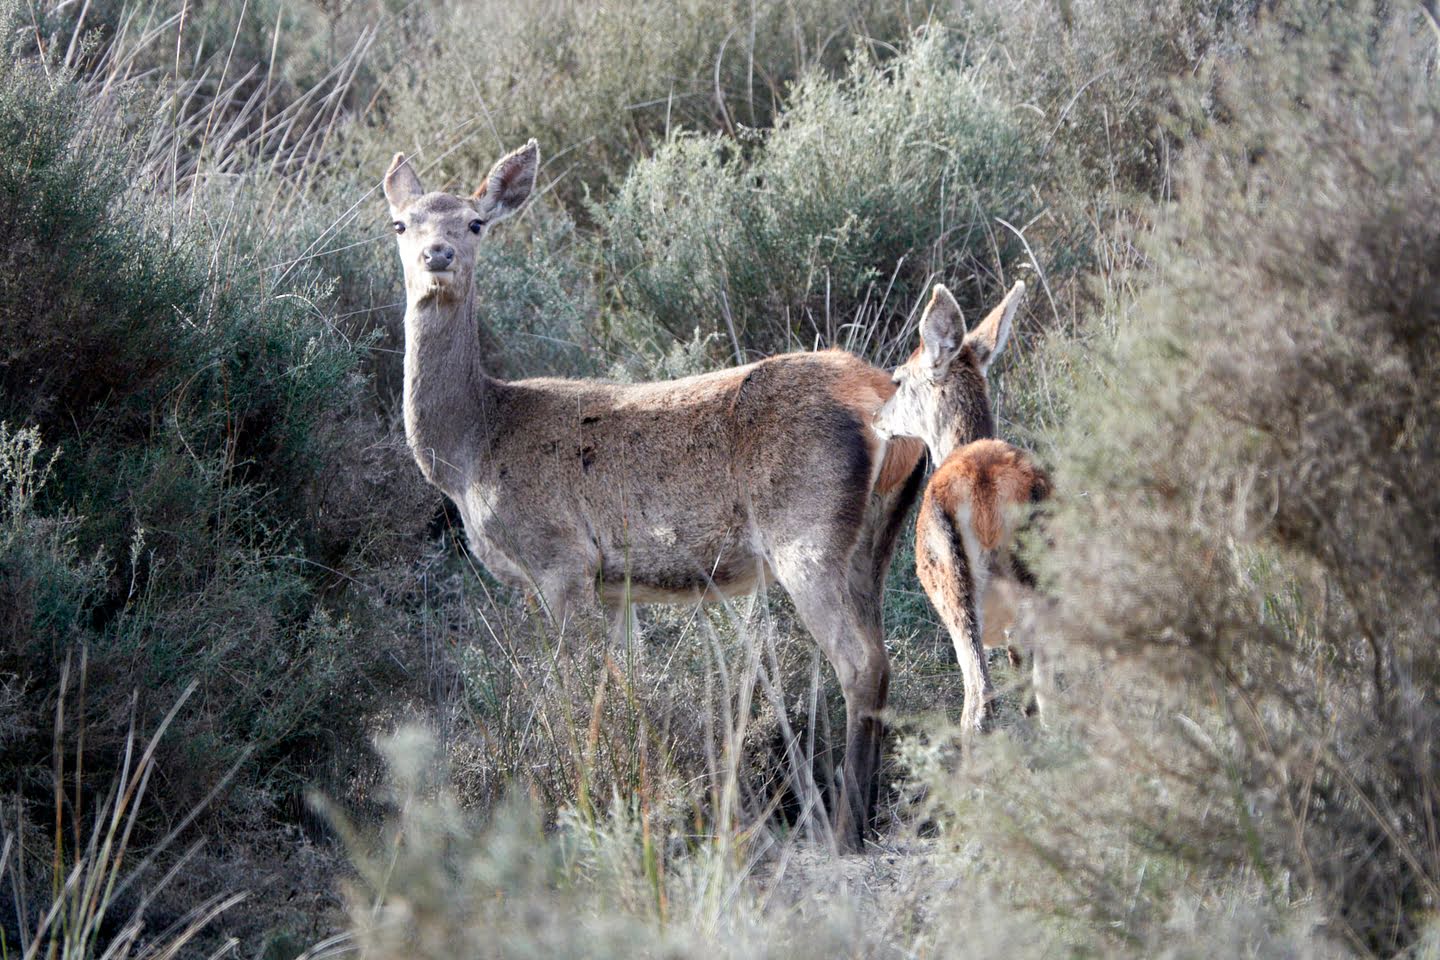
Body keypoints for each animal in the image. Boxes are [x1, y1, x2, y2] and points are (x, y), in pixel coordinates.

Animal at [383, 141, 921, 846]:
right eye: (400, 224)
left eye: (475, 223)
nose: (437, 255)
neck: (471, 451)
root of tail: (884, 401)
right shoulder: (614, 583)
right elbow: (628, 686)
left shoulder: (559, 559)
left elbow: (574, 690)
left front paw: (582, 796)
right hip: (874, 539)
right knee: (881, 658)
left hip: (806, 530)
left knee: (860, 664)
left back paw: (843, 829)